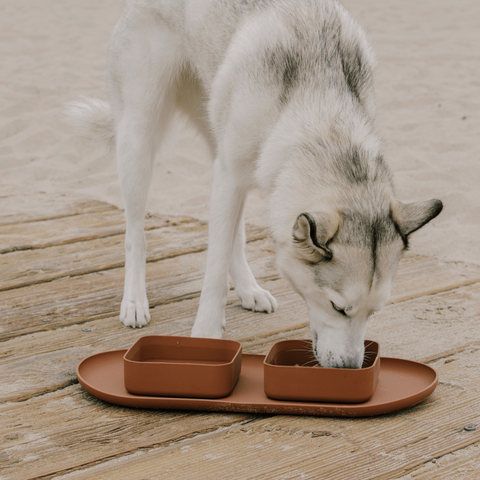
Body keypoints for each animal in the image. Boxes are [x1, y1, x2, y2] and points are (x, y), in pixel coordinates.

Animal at [67, 0, 442, 368]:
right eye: (338, 307)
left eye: (374, 312)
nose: (351, 367)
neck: (320, 108)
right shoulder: (230, 176)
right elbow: (214, 272)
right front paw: (205, 337)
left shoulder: (234, 175)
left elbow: (231, 241)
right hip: (139, 138)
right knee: (136, 235)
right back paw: (134, 300)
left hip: (217, 144)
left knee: (233, 234)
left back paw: (249, 290)